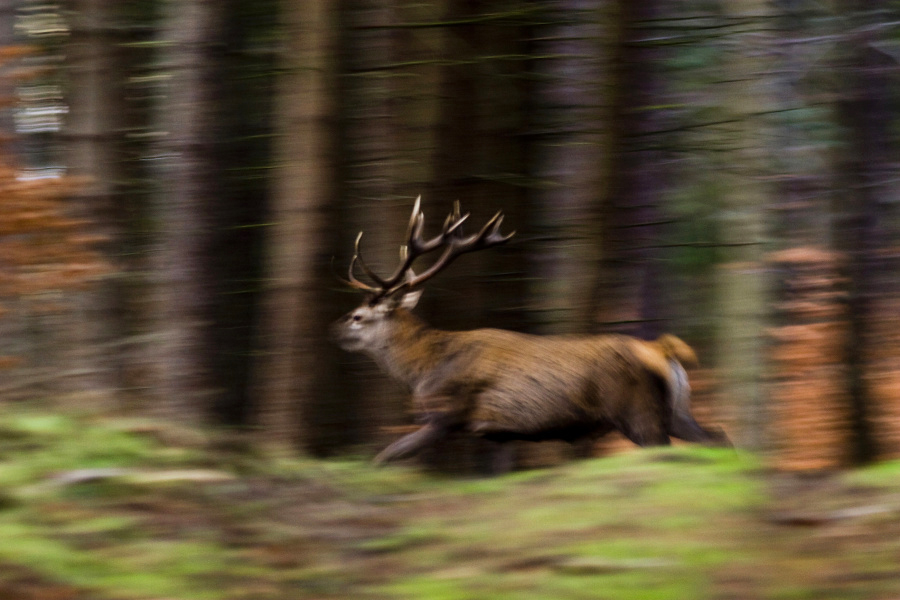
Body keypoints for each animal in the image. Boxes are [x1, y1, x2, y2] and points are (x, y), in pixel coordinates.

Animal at [331, 197, 730, 466]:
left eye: (358, 316)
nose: (332, 329)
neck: (423, 369)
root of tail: (662, 352)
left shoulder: (445, 416)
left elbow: (385, 455)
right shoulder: (498, 432)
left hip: (637, 411)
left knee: (670, 448)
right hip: (677, 410)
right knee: (718, 437)